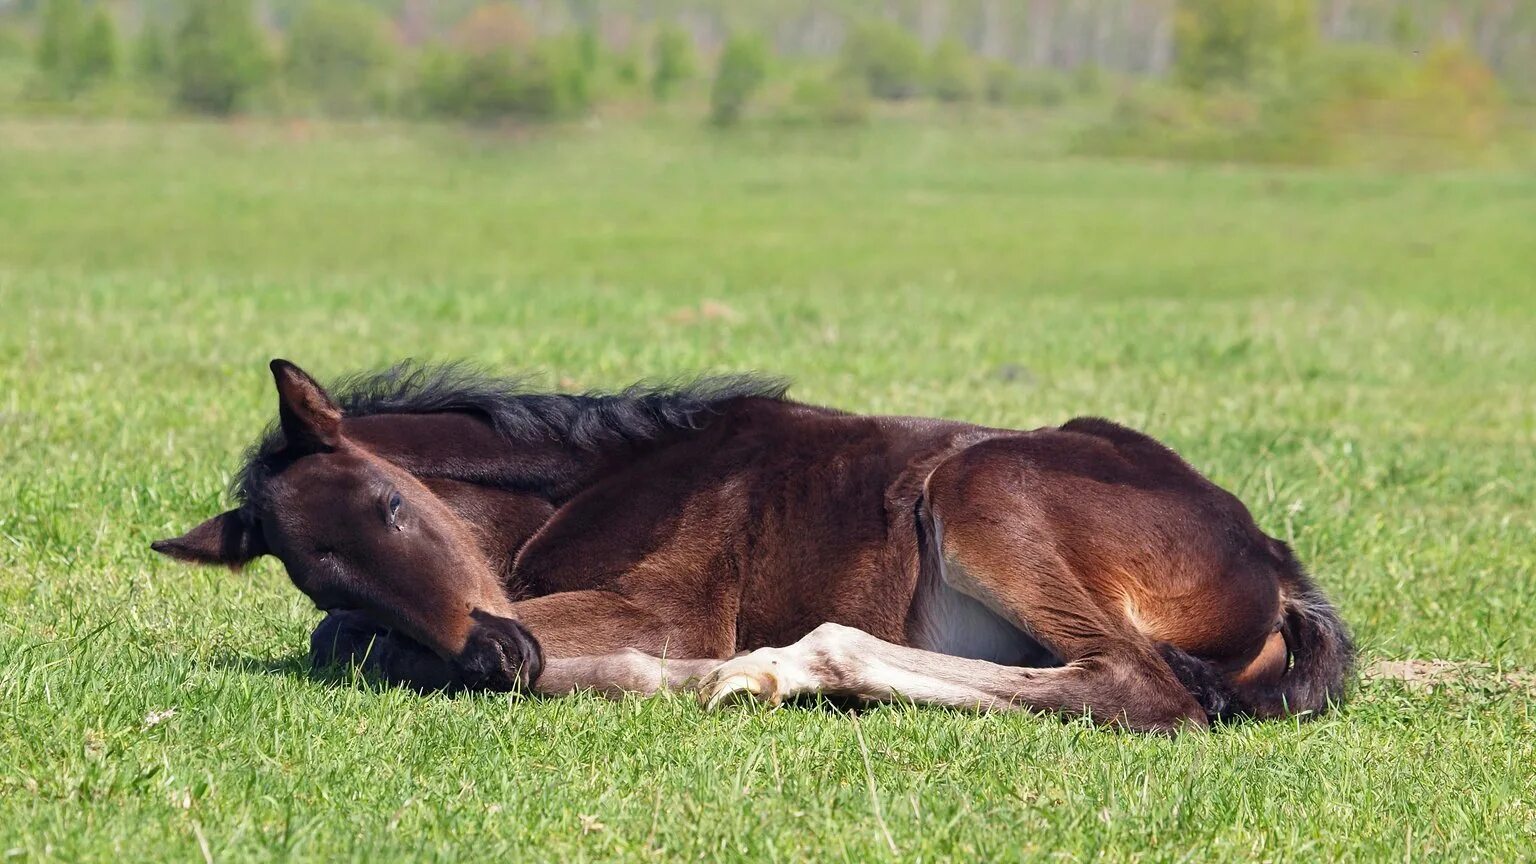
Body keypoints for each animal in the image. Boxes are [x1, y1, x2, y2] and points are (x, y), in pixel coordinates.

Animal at [155, 359, 1351, 728]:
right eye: (321, 578)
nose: (501, 655)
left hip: (987, 484)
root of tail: (1272, 558)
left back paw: (785, 668)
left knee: (1132, 684)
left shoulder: (666, 603)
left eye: (392, 507)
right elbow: (353, 645)